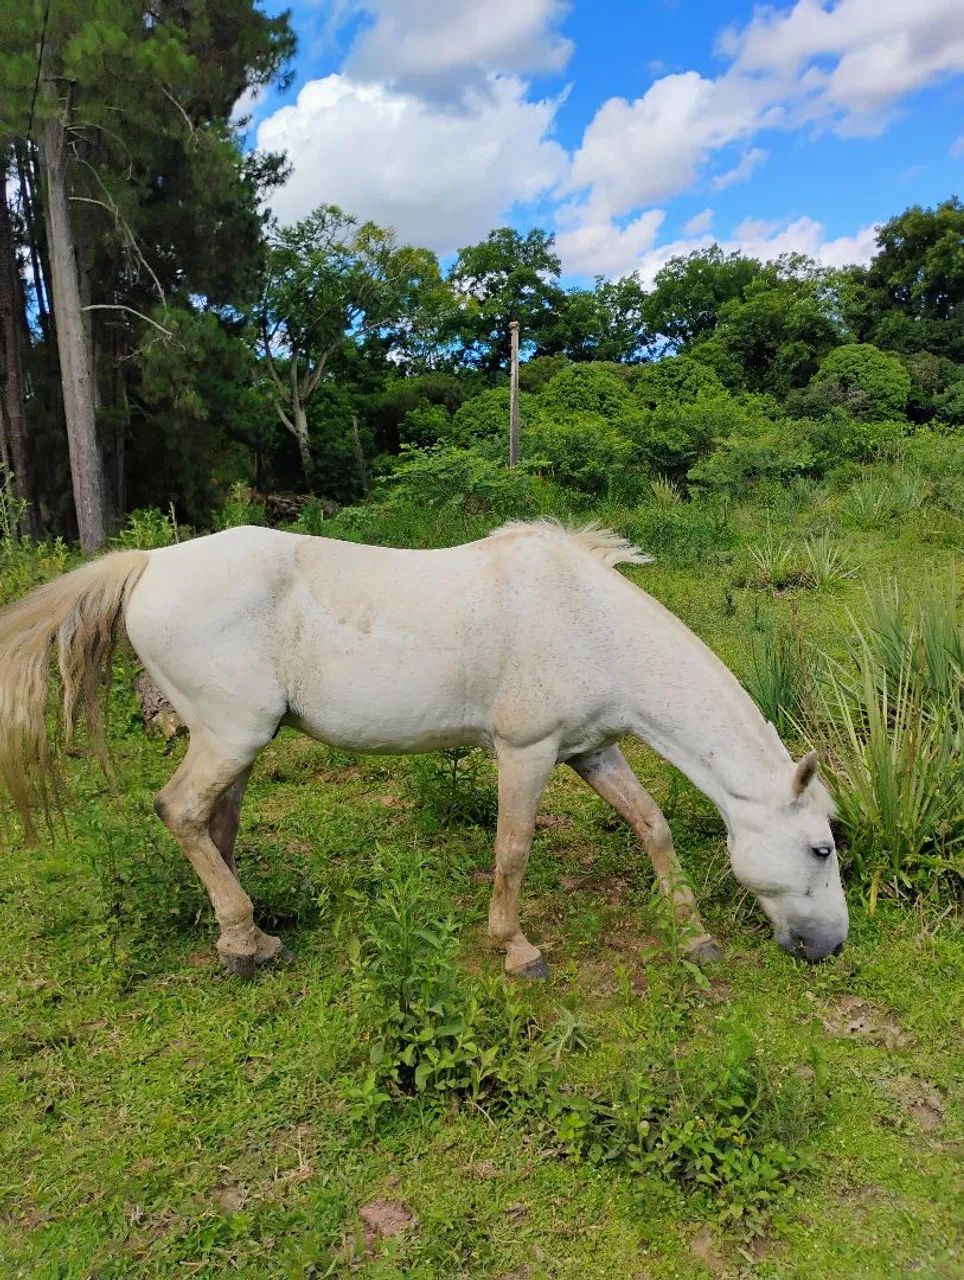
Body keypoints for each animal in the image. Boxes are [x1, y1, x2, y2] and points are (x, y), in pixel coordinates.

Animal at [0, 520, 848, 979]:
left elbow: (653, 827)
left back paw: (242, 937)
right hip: (232, 735)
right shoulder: (526, 751)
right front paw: (516, 949)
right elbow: (512, 850)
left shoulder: (591, 750)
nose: (831, 945)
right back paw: (246, 937)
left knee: (215, 823)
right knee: (179, 811)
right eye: (821, 849)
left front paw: (693, 934)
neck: (587, 621)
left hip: (232, 742)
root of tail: (149, 562)